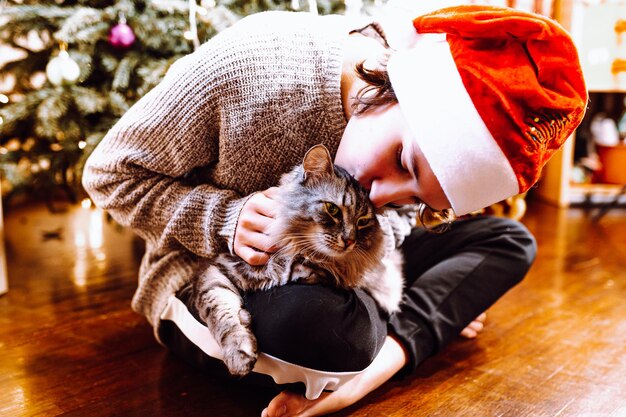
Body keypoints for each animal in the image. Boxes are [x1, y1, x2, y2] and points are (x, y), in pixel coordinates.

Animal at [190, 145, 404, 376]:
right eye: (333, 209)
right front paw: (239, 356)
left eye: (363, 222)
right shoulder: (217, 271)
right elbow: (224, 316)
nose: (349, 240)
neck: (296, 251)